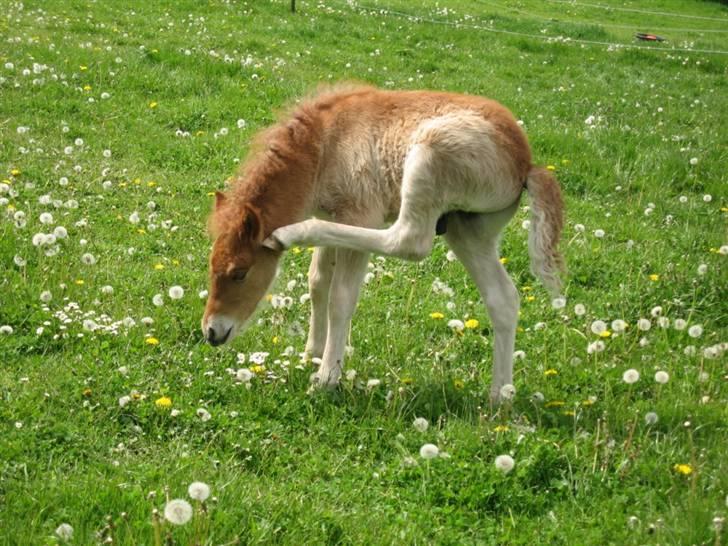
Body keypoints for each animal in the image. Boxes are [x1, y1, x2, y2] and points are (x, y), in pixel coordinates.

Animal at [202, 85, 564, 400]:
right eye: (212, 266)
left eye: (239, 272)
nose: (212, 332)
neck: (324, 145)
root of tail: (525, 162)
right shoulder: (334, 213)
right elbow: (317, 282)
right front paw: (312, 354)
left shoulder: (358, 213)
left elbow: (340, 298)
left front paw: (326, 377)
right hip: (468, 228)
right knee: (503, 299)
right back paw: (500, 397)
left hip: (429, 158)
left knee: (409, 241)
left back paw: (293, 233)